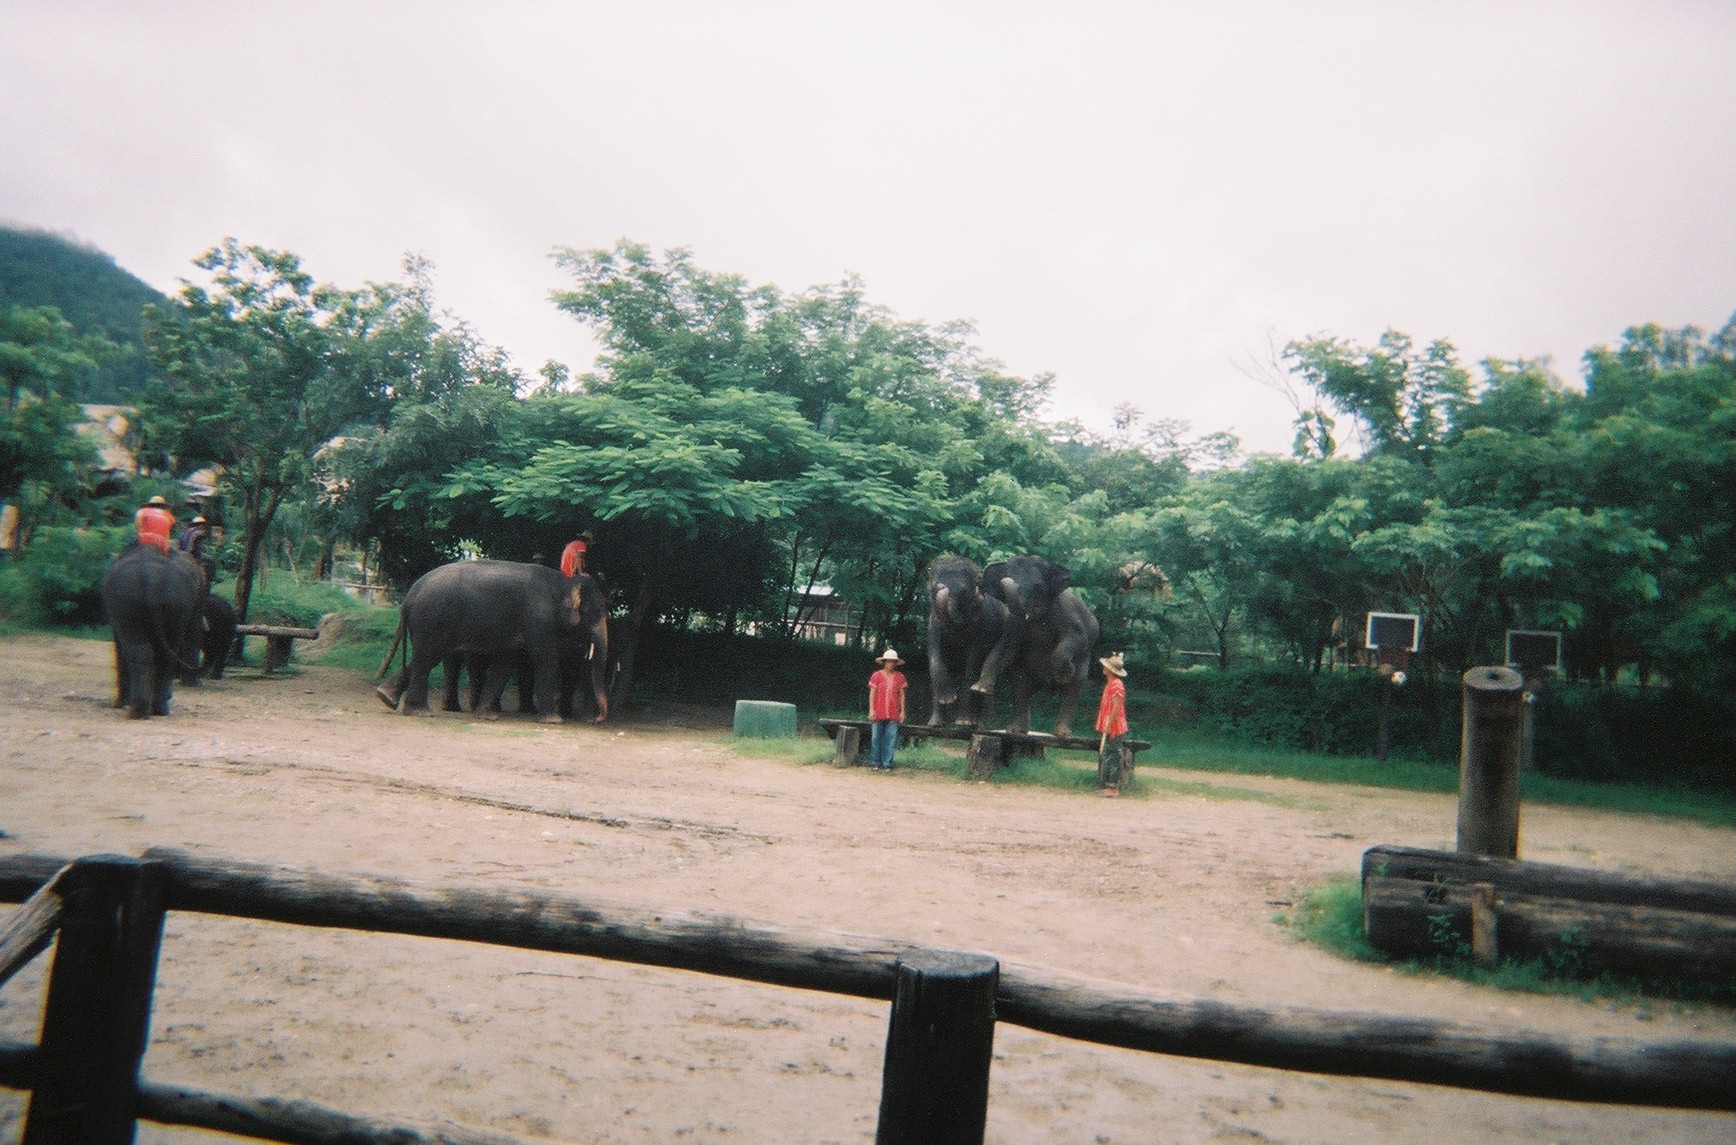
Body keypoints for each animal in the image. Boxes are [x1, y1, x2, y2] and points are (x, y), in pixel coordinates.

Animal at [101, 537, 206, 714]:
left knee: (141, 650)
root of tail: (150, 578)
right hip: (174, 601)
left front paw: (121, 704)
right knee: (168, 648)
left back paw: (142, 709)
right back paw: (155, 708)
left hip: (129, 601)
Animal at [373, 562, 611, 725]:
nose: (595, 719)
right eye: (598, 611)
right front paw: (554, 721)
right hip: (433, 618)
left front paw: (486, 716)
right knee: (427, 658)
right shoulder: (539, 617)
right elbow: (545, 659)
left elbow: (506, 664)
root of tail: (410, 594)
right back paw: (419, 712)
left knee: (424, 657)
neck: (562, 581)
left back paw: (386, 697)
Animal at [923, 555, 1013, 725]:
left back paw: (984, 720)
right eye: (932, 590)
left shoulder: (982, 625)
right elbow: (934, 653)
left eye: (964, 592)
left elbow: (973, 661)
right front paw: (937, 719)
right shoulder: (932, 623)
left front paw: (962, 722)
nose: (941, 587)